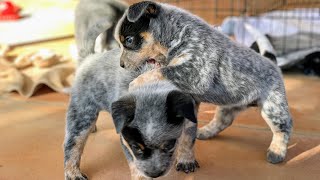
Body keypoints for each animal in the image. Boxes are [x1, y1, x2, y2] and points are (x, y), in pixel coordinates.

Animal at [114, 0, 292, 165]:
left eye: (128, 40)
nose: (121, 65)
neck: (178, 33)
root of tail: (272, 63)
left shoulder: (196, 70)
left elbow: (160, 71)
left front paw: (134, 83)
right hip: (230, 105)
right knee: (223, 121)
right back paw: (205, 132)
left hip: (272, 107)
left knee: (284, 127)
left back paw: (276, 152)